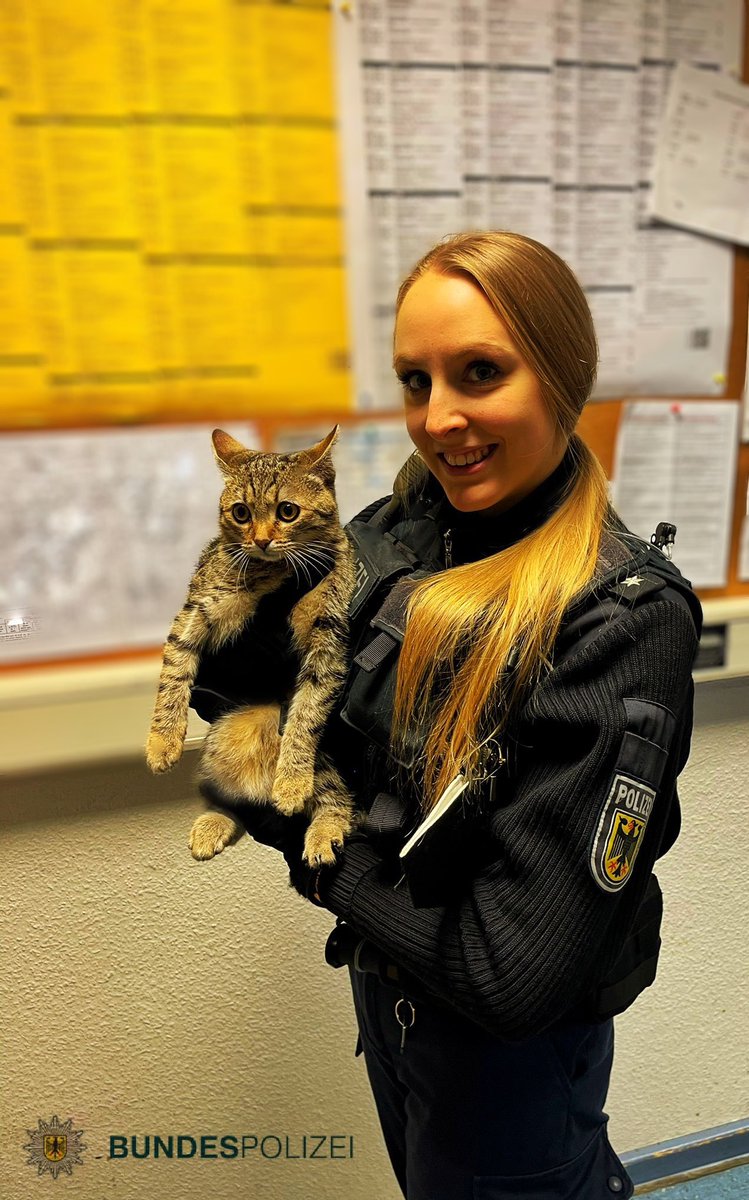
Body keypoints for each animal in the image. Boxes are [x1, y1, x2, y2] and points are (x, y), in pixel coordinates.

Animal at [147, 427, 360, 868]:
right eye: (241, 513)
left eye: (287, 511)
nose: (260, 540)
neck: (271, 573)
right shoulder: (196, 610)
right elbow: (174, 671)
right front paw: (163, 740)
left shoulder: (329, 639)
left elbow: (306, 717)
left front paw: (292, 780)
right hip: (223, 745)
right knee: (234, 804)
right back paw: (214, 823)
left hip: (322, 761)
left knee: (337, 798)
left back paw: (321, 832)